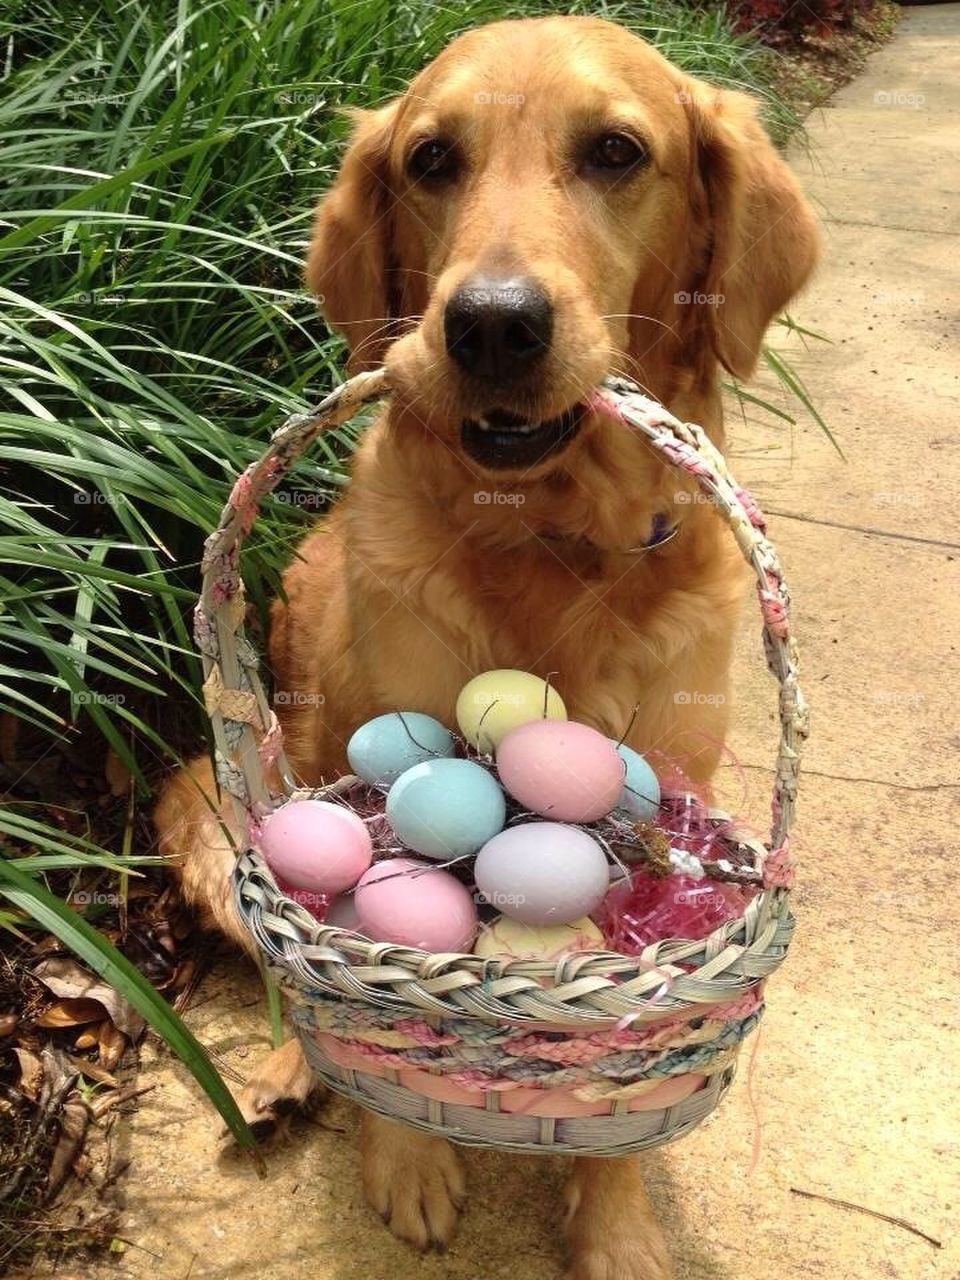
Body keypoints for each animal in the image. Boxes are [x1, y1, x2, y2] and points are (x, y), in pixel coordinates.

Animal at [158, 15, 819, 1274]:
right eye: (432, 160)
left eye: (615, 151)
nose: (493, 322)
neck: (552, 542)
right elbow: (357, 985)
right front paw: (408, 1153)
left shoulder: (678, 780)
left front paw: (618, 1224)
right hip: (241, 796)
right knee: (279, 958)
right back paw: (283, 1070)